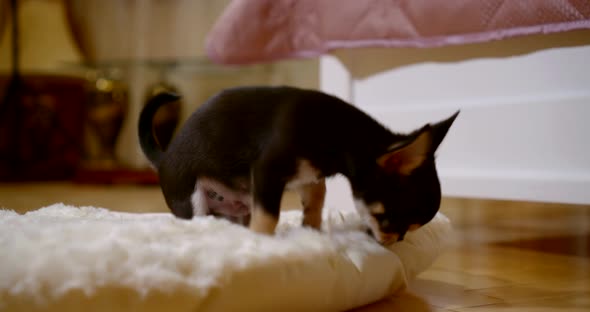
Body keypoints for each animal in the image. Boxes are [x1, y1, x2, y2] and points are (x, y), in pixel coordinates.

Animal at [138, 85, 458, 244]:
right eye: (392, 221)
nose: (398, 241)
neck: (340, 134)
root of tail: (164, 157)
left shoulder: (309, 177)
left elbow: (316, 201)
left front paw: (311, 232)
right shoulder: (267, 171)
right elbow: (269, 216)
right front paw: (261, 243)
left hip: (236, 209)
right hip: (192, 199)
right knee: (198, 217)